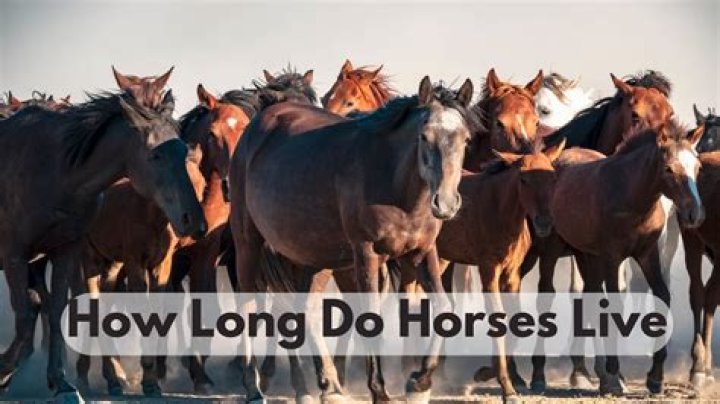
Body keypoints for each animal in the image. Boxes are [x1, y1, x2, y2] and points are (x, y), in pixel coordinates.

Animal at [74, 145, 206, 397]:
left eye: (202, 185)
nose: (194, 225)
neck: (150, 216)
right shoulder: (135, 263)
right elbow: (143, 312)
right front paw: (150, 381)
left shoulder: (160, 266)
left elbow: (158, 312)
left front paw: (152, 378)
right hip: (90, 260)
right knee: (93, 306)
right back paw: (93, 377)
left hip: (113, 265)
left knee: (104, 308)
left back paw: (113, 376)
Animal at [229, 77, 474, 403]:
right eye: (424, 136)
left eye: (466, 139)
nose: (445, 203)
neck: (393, 181)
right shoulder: (367, 254)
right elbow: (369, 317)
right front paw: (380, 391)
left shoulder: (421, 251)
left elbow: (443, 308)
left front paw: (419, 382)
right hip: (248, 244)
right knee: (248, 308)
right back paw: (254, 387)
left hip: (313, 255)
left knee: (306, 310)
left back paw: (330, 385)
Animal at [432, 139, 565, 398]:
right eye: (523, 179)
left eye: (553, 178)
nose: (544, 222)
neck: (501, 212)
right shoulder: (488, 271)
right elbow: (498, 319)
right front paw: (506, 385)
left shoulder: (512, 274)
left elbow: (515, 319)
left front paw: (488, 373)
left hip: (441, 260)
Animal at [529, 121, 705, 396]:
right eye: (668, 168)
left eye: (697, 167)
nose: (694, 214)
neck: (631, 197)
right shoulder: (613, 257)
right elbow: (614, 305)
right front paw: (614, 375)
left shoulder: (647, 254)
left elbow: (662, 296)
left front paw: (655, 377)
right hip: (552, 248)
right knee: (546, 297)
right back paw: (539, 376)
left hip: (586, 255)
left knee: (589, 298)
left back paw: (591, 374)